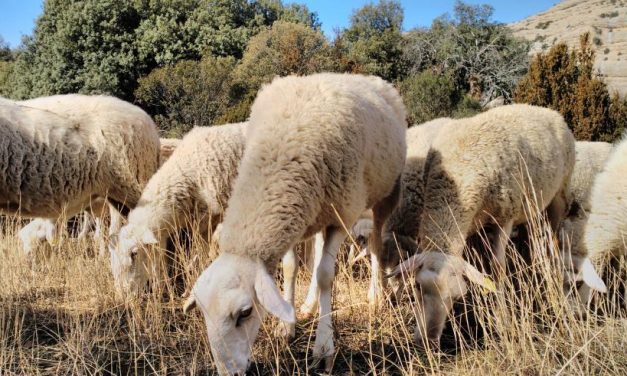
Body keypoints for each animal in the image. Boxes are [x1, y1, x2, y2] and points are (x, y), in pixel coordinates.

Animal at [182, 72, 408, 374]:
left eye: (245, 313)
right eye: (204, 313)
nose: (229, 372)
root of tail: (358, 76)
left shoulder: (342, 215)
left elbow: (326, 276)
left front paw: (323, 347)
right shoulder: (295, 216)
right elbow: (291, 268)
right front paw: (286, 327)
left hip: (384, 193)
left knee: (375, 243)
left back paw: (376, 295)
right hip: (321, 211)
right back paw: (310, 304)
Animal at [390, 103, 576, 350]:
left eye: (456, 298)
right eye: (418, 288)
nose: (428, 342)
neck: (459, 171)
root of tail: (545, 110)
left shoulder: (505, 218)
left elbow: (497, 269)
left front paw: (502, 316)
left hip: (559, 195)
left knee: (553, 240)